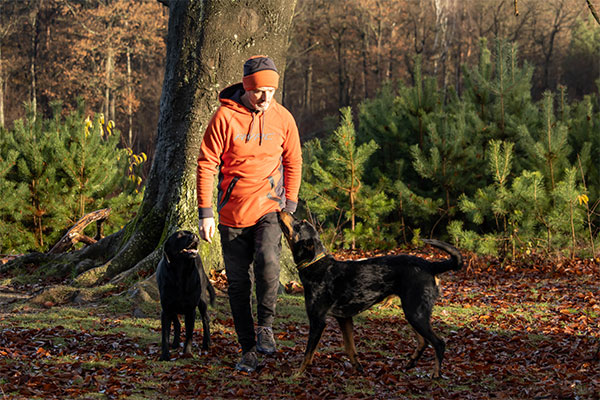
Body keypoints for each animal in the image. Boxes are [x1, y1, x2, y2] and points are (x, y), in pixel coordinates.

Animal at [156, 230, 217, 360]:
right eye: (179, 235)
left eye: (190, 232)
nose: (195, 236)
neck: (180, 273)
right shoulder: (166, 310)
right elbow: (165, 335)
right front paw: (165, 355)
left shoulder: (190, 310)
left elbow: (189, 334)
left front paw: (187, 353)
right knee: (177, 323)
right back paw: (175, 343)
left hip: (202, 302)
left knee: (206, 319)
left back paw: (207, 343)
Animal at [278, 211, 462, 380]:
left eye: (299, 223)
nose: (282, 210)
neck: (318, 267)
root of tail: (431, 265)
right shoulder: (344, 318)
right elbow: (350, 348)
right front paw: (359, 369)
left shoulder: (318, 321)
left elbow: (308, 353)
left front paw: (297, 374)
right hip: (413, 312)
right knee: (424, 341)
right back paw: (411, 363)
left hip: (415, 313)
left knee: (438, 342)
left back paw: (436, 374)